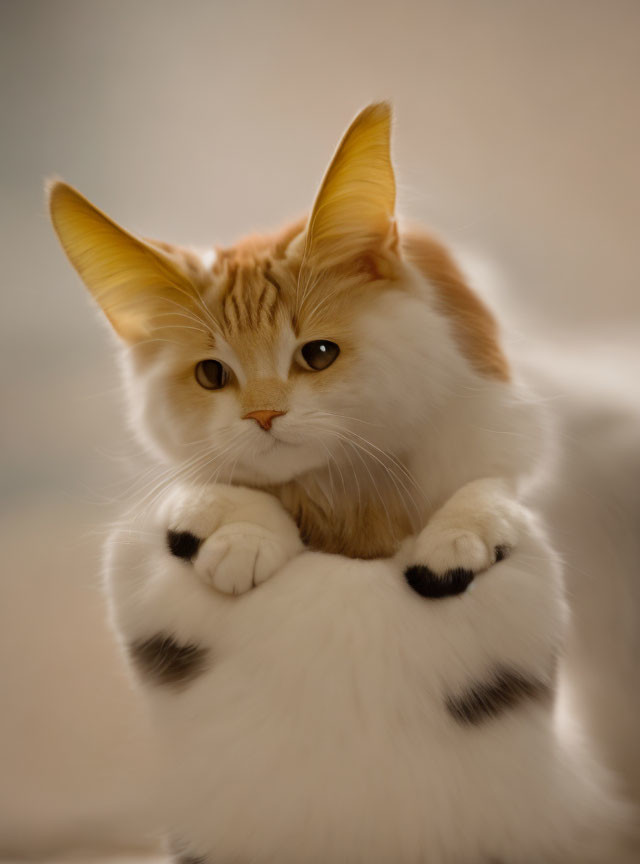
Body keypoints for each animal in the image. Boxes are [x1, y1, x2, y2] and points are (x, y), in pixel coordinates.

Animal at [48, 103, 636, 864]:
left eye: (318, 354)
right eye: (211, 374)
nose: (263, 415)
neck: (342, 498)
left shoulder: (504, 432)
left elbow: (487, 489)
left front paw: (458, 537)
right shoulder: (186, 479)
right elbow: (207, 489)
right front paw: (239, 534)